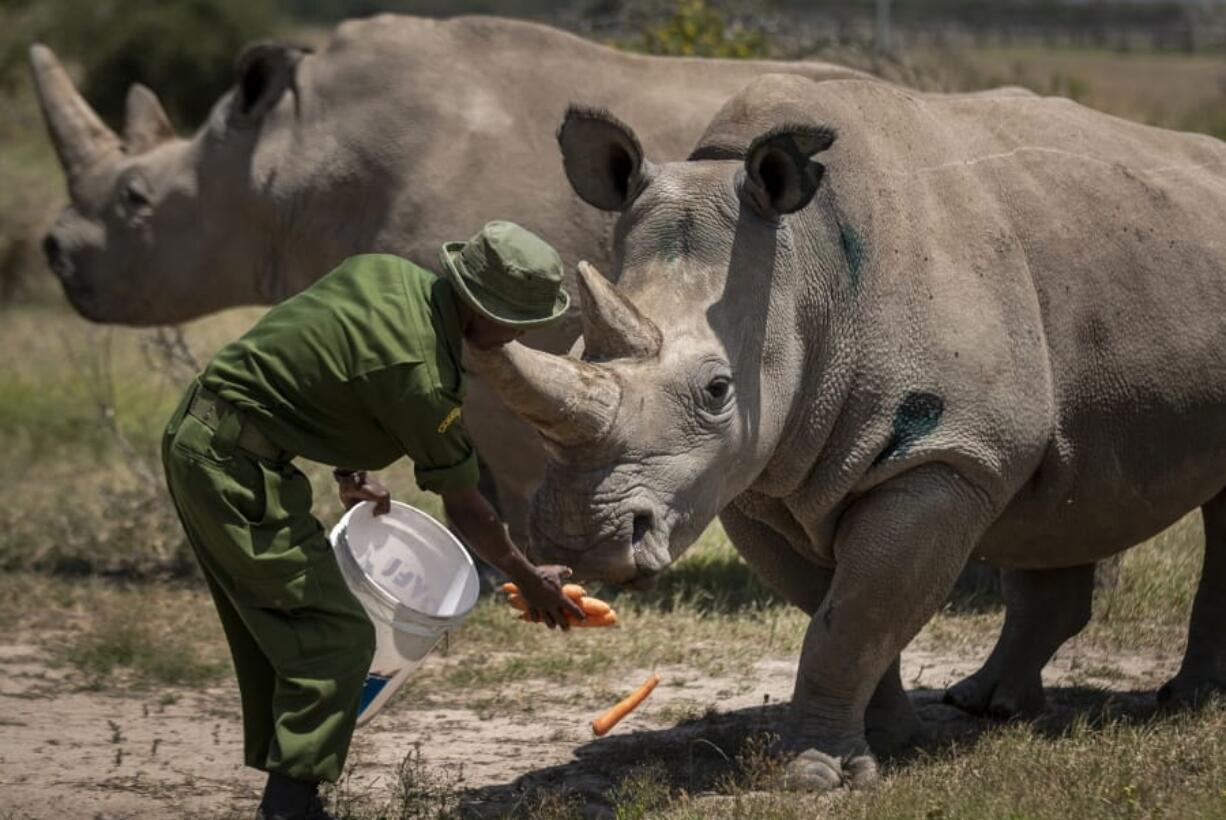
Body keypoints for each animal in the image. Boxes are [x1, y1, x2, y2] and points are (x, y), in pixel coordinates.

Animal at [465, 76, 1226, 784]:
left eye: (717, 390)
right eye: (576, 353)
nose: (580, 539)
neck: (804, 271)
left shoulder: (945, 454)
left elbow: (856, 616)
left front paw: (813, 775)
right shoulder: (758, 477)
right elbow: (840, 613)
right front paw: (885, 745)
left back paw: (1187, 704)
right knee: (1059, 491)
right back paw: (988, 706)